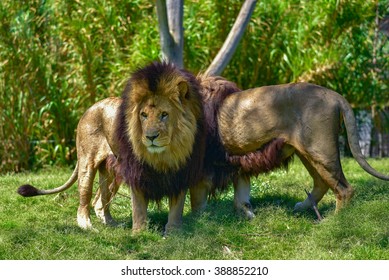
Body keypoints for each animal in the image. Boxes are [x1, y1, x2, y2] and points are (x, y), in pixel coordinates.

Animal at [17, 61, 206, 234]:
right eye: (143, 115)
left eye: (164, 115)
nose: (151, 137)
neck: (161, 155)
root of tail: (90, 108)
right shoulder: (136, 172)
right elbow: (138, 208)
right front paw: (138, 234)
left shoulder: (182, 172)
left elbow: (176, 208)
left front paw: (174, 233)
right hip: (87, 163)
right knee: (84, 201)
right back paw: (87, 226)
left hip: (111, 170)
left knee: (100, 201)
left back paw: (112, 224)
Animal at [189, 76, 388, 219]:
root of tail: (335, 96)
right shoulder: (237, 161)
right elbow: (241, 194)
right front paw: (246, 214)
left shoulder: (202, 167)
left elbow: (197, 200)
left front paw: (199, 222)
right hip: (306, 152)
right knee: (322, 182)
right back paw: (303, 207)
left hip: (321, 150)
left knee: (345, 189)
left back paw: (336, 222)